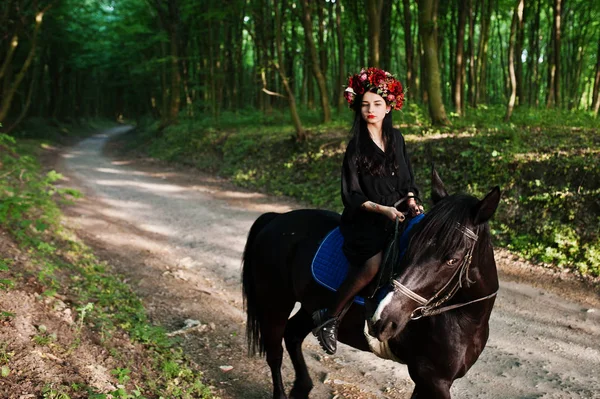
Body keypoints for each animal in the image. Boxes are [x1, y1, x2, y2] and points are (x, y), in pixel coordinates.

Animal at [243, 171, 502, 399]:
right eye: (410, 245)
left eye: (452, 260)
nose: (383, 320)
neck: (465, 316)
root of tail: (277, 218)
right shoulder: (433, 379)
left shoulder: (427, 381)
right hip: (274, 302)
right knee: (275, 352)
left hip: (310, 306)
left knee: (293, 335)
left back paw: (303, 387)